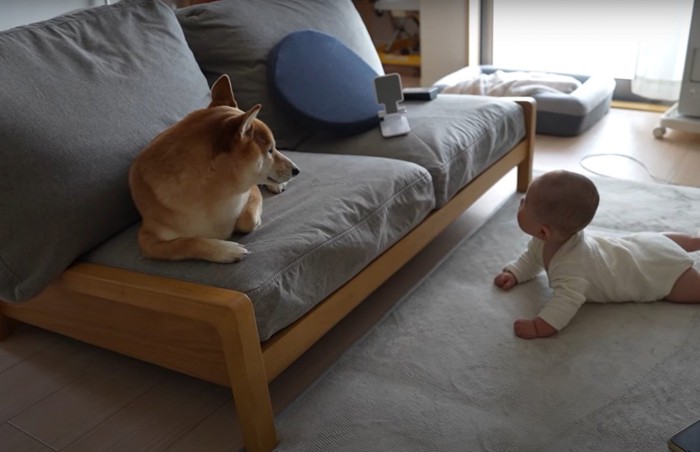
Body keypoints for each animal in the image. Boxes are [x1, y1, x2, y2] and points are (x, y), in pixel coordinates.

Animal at [130, 75, 300, 262]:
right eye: (270, 150)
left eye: (274, 148)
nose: (297, 170)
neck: (216, 193)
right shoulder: (147, 241)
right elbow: (188, 243)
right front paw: (226, 251)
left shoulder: (249, 190)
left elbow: (247, 220)